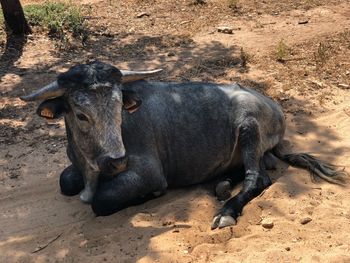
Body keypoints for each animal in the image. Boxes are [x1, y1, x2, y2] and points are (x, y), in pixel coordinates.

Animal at [20, 60, 346, 230]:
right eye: (80, 114)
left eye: (118, 106)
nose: (116, 160)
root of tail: (274, 107)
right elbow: (65, 181)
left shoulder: (149, 173)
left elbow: (101, 201)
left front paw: (144, 196)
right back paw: (222, 183)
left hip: (248, 127)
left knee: (258, 177)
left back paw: (226, 210)